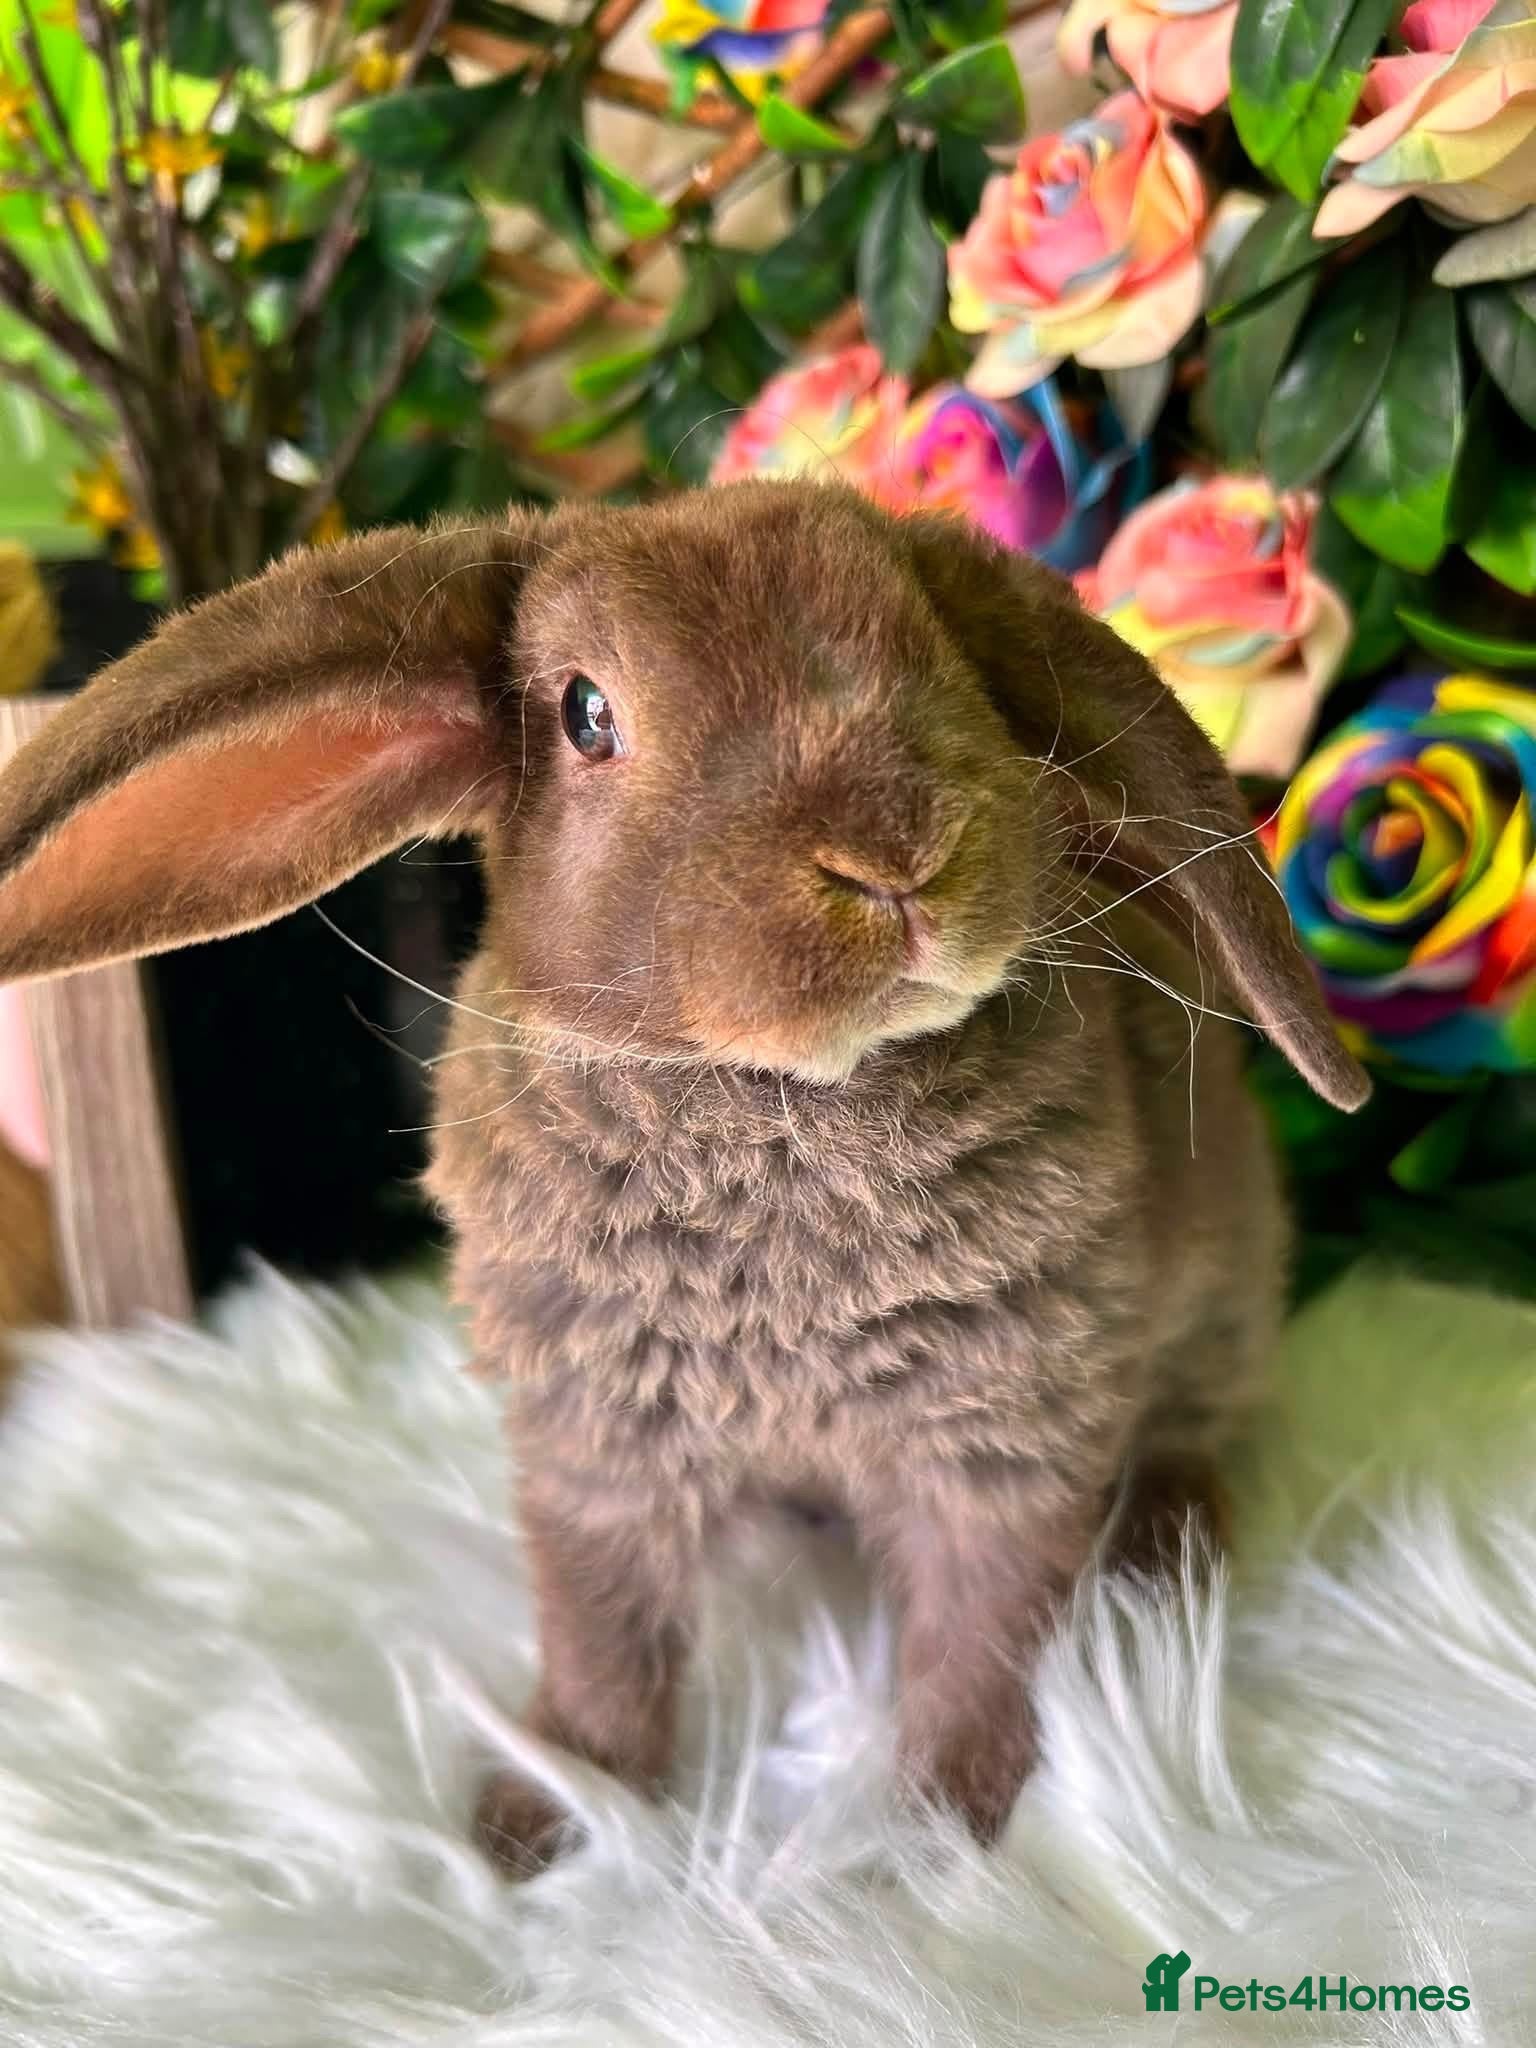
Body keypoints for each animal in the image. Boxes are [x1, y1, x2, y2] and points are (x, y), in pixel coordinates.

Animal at [0, 481, 1368, 1871]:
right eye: (585, 713)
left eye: (941, 649)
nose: (896, 856)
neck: (780, 1101)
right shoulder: (601, 1450)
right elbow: (605, 1634)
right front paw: (541, 1818)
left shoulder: (1001, 1442)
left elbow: (979, 1637)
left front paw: (944, 1832)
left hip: (1218, 1304)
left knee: (1188, 1430)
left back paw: (1163, 1561)